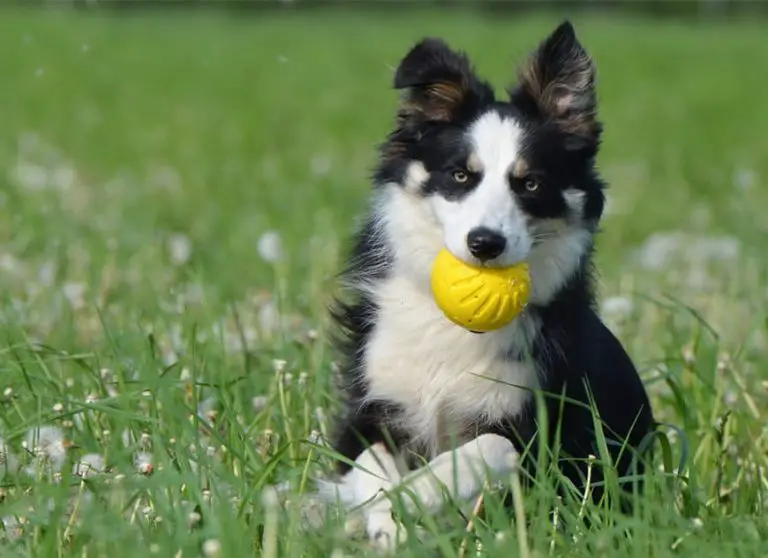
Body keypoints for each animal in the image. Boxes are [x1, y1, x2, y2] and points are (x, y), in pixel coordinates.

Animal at [316, 20, 656, 552]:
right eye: (460, 175)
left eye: (531, 183)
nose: (485, 244)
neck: (450, 328)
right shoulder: (371, 406)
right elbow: (369, 465)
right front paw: (380, 516)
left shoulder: (538, 433)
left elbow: (488, 447)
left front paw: (415, 497)